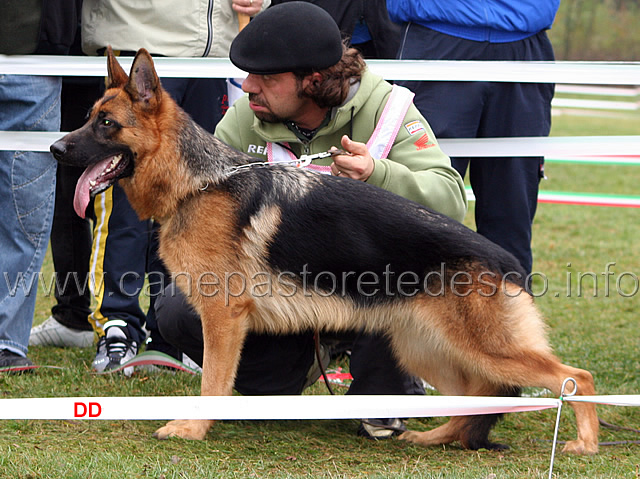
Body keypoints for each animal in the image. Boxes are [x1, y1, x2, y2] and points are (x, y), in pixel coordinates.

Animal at [51, 49, 600, 458]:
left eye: (106, 124)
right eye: (89, 119)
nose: (55, 149)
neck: (199, 182)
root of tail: (509, 264)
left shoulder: (223, 317)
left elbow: (211, 381)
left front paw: (192, 429)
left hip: (483, 350)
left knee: (574, 377)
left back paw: (585, 443)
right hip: (427, 348)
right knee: (478, 400)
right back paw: (434, 436)